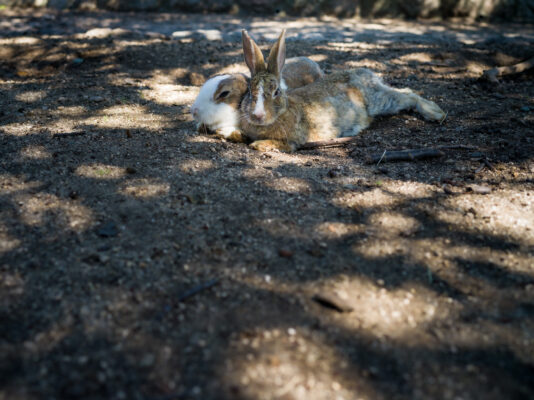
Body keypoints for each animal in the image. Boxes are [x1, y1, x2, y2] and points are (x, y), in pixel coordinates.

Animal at [240, 29, 448, 152]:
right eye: (250, 91)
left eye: (276, 92)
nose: (257, 115)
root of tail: (364, 73)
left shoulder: (293, 140)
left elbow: (280, 144)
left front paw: (258, 144)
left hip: (379, 101)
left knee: (407, 95)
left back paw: (436, 113)